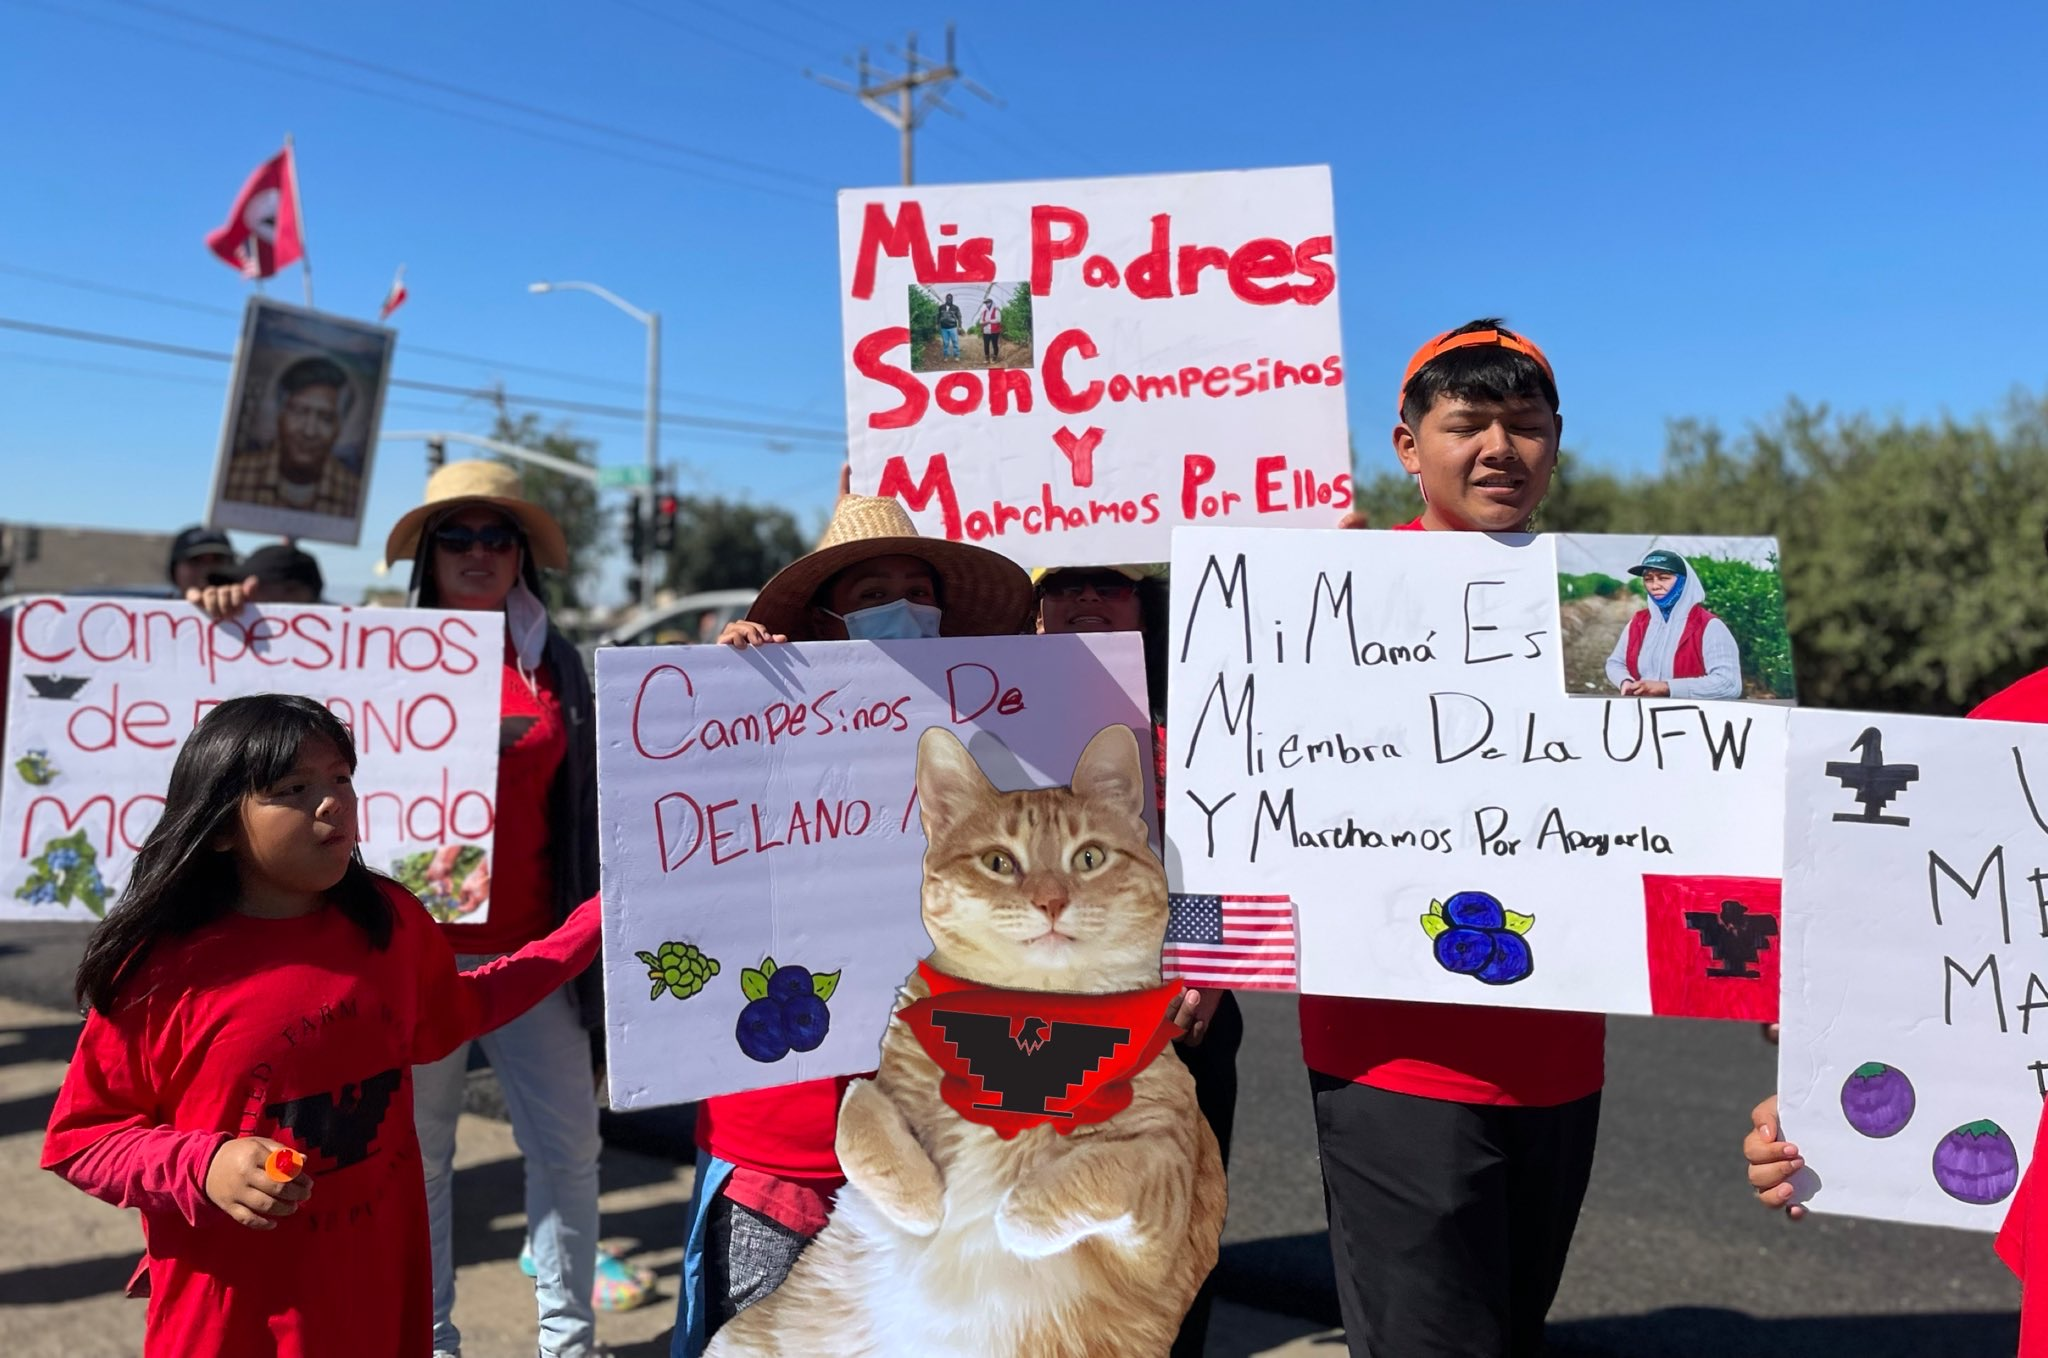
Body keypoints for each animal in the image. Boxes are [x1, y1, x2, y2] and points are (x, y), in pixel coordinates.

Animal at [708, 729, 1212, 1351]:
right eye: (999, 862)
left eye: (1089, 857)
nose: (1050, 900)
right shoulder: (875, 1084)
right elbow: (858, 1124)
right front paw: (924, 1203)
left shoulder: (1170, 1196)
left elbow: (1113, 1166)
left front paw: (1019, 1214)